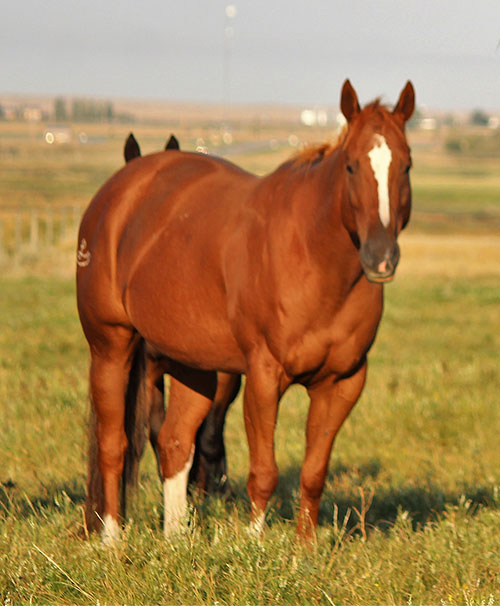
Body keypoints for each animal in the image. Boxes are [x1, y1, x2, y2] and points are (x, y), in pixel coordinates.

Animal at [77, 79, 414, 540]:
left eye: (407, 166)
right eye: (350, 166)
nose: (381, 257)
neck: (311, 256)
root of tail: (118, 193)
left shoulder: (342, 382)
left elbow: (314, 473)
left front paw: (305, 549)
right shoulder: (263, 375)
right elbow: (264, 471)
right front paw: (254, 544)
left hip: (194, 365)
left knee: (175, 441)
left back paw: (176, 539)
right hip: (111, 345)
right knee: (115, 443)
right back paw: (111, 539)